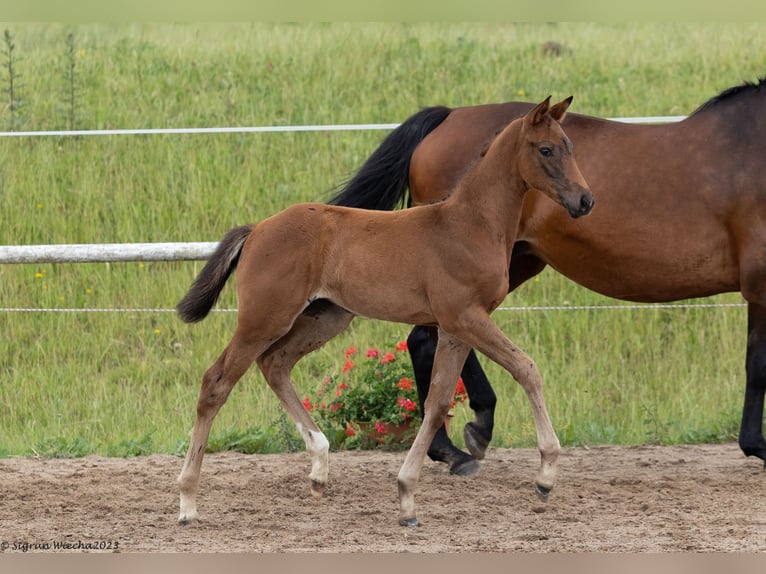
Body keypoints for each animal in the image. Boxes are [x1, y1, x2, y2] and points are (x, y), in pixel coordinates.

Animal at [328, 76, 766, 474]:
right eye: (547, 149)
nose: (585, 200)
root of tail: (448, 116)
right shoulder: (760, 286)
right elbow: (757, 364)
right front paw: (757, 445)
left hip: (511, 265)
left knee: (429, 340)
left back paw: (454, 445)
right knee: (430, 341)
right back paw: (461, 444)